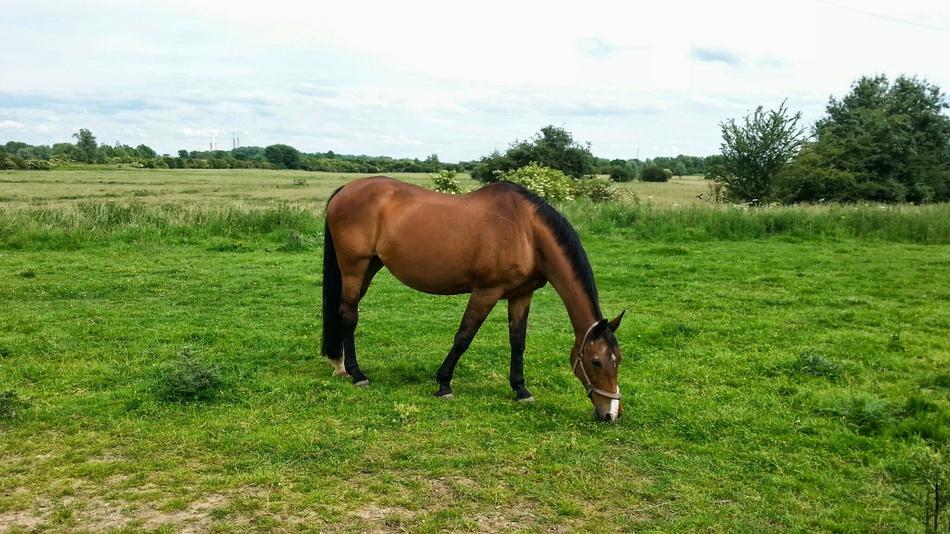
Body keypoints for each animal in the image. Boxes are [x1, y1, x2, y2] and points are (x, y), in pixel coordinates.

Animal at [321, 176, 625, 421]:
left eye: (618, 360)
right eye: (595, 361)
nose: (611, 414)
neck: (527, 232)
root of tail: (346, 189)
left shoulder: (521, 294)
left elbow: (518, 341)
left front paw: (521, 389)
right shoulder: (486, 292)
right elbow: (464, 336)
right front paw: (444, 384)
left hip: (370, 266)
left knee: (345, 311)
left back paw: (341, 366)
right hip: (354, 266)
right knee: (349, 314)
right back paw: (357, 374)